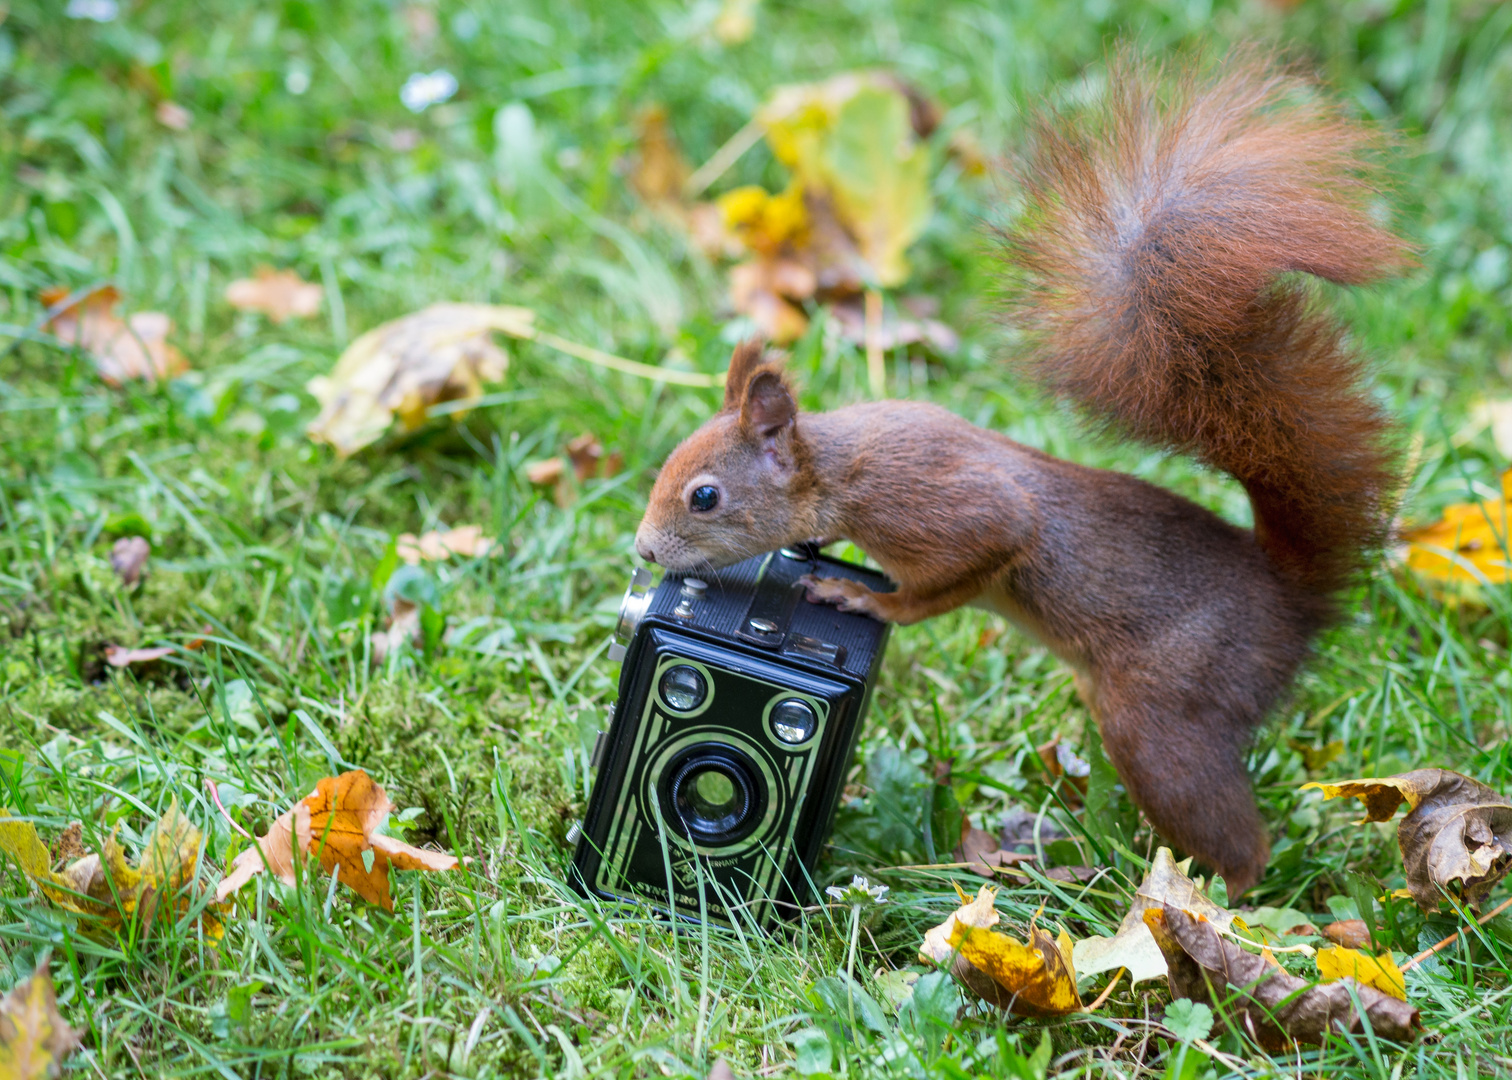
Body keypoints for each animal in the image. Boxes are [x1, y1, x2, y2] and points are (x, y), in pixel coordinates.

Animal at [625, 54, 1403, 889]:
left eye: (705, 496)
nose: (644, 550)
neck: (840, 468)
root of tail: (1293, 603)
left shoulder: (938, 509)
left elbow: (963, 568)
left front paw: (861, 599)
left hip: (1163, 717)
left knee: (1236, 842)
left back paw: (1198, 899)